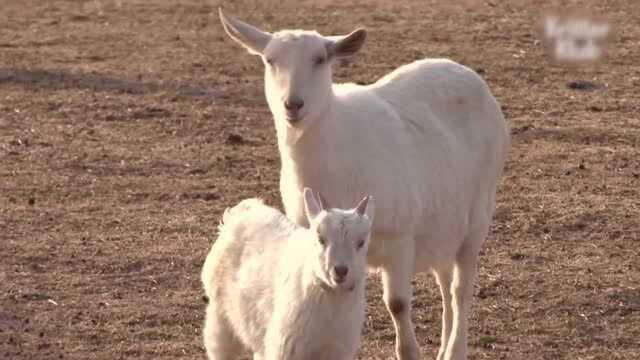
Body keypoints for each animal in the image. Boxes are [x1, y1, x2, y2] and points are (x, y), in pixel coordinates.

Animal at [202, 188, 376, 360]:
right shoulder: (285, 348)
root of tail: (242, 212)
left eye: (361, 242)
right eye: (320, 238)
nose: (340, 270)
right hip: (220, 317)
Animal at [220, 7, 510, 360]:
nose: (293, 104)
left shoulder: (400, 238)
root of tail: (465, 71)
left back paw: (456, 349)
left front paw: (409, 351)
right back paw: (444, 349)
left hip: (478, 213)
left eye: (320, 59)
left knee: (460, 288)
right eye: (269, 60)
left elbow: (397, 304)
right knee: (445, 279)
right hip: (443, 221)